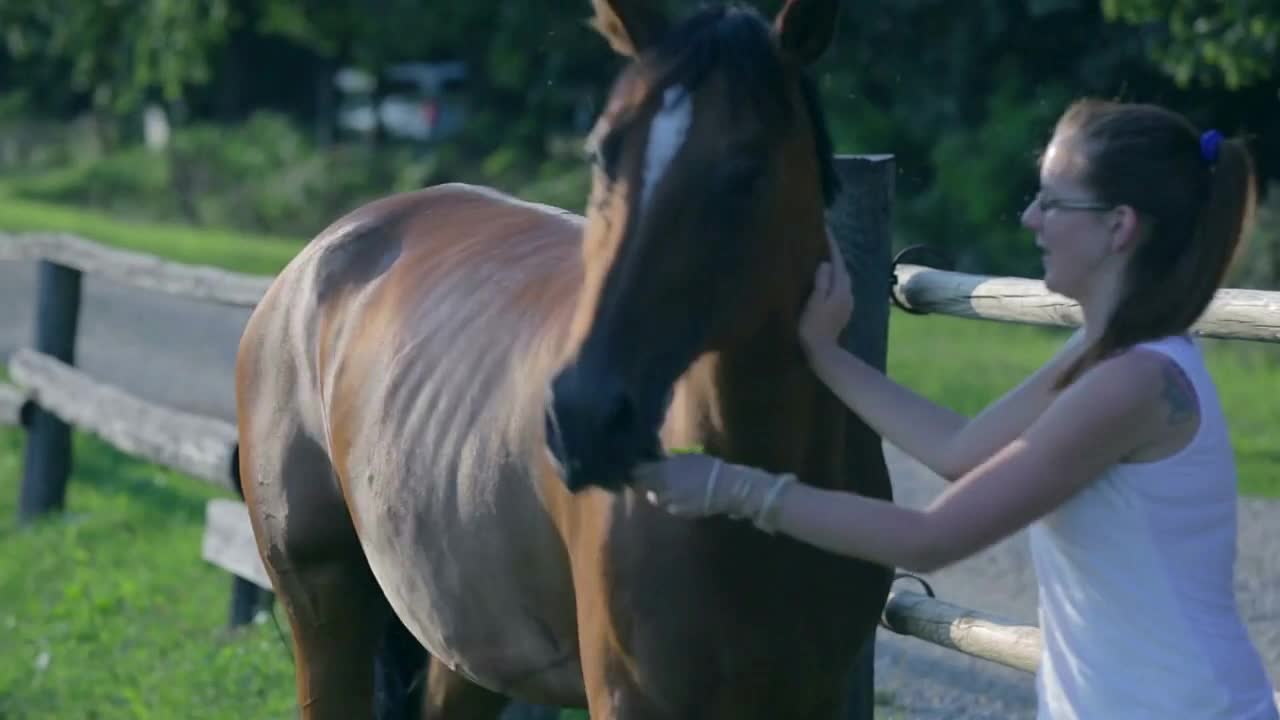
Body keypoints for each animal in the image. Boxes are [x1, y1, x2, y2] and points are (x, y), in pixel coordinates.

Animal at [232, 1, 890, 717]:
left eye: (749, 171)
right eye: (603, 153)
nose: (585, 419)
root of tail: (312, 261)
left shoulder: (811, 696)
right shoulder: (630, 696)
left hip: (469, 645)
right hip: (323, 602)